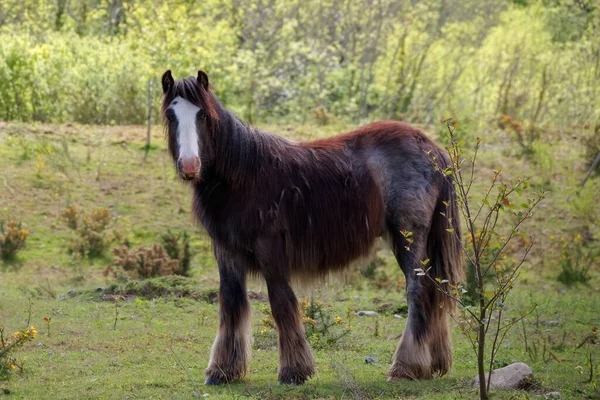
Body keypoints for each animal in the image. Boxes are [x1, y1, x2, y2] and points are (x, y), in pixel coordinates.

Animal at [161, 70, 464, 386]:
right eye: (171, 115)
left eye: (203, 115)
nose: (190, 165)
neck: (243, 176)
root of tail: (434, 150)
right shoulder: (227, 251)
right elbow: (231, 303)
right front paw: (223, 371)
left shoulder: (270, 249)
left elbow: (281, 302)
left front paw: (294, 371)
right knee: (435, 292)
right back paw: (434, 363)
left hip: (409, 236)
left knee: (418, 290)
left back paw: (406, 367)